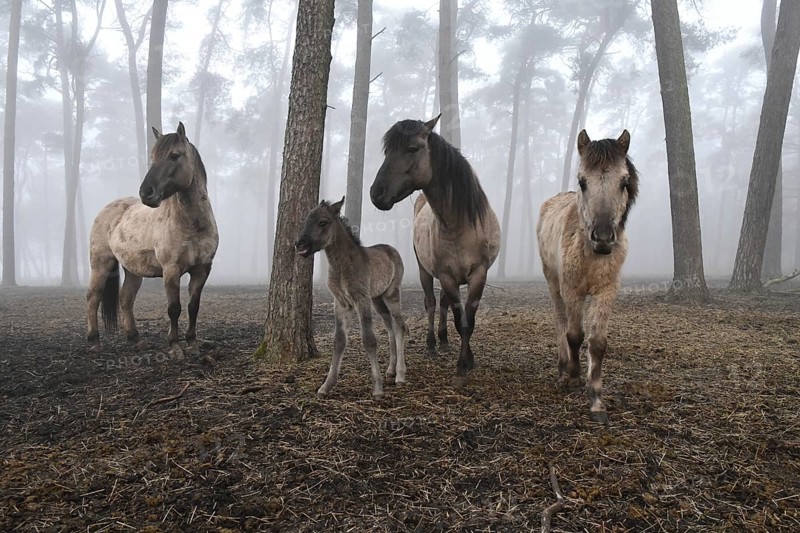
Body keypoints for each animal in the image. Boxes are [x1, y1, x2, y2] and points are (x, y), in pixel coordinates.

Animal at [86, 122, 219, 359]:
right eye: (153, 157)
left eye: (174, 155)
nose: (146, 193)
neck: (192, 225)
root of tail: (108, 208)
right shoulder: (171, 270)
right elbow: (174, 308)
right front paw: (175, 347)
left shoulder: (202, 269)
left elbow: (193, 307)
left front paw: (192, 344)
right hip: (101, 264)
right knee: (93, 297)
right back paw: (94, 341)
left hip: (132, 269)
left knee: (126, 298)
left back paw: (135, 339)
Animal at [295, 197, 407, 399]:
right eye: (306, 220)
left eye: (323, 222)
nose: (300, 245)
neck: (342, 266)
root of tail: (391, 249)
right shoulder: (341, 303)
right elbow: (339, 341)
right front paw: (325, 386)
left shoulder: (361, 299)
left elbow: (369, 340)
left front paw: (377, 389)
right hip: (377, 298)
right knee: (389, 326)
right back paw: (391, 370)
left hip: (391, 293)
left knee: (400, 326)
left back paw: (400, 375)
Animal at [369, 115, 500, 387]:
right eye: (387, 152)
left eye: (412, 149)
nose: (376, 193)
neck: (460, 224)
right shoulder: (447, 276)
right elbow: (460, 319)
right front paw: (461, 368)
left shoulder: (478, 275)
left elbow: (468, 320)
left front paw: (467, 361)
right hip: (425, 271)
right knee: (431, 303)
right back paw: (432, 343)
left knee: (443, 304)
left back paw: (444, 341)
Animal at [536, 129, 639, 423]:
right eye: (582, 182)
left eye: (624, 182)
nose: (603, 238)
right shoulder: (572, 290)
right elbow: (574, 335)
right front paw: (572, 377)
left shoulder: (607, 291)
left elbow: (597, 342)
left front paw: (596, 399)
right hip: (553, 282)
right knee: (560, 322)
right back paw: (562, 369)